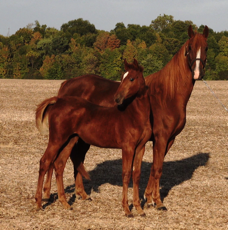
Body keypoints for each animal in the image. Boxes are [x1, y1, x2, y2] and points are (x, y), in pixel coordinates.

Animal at [35, 58, 151, 216]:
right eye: (122, 77)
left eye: (132, 78)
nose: (117, 98)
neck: (134, 115)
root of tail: (58, 100)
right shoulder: (127, 147)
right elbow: (126, 174)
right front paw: (127, 209)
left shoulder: (140, 147)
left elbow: (137, 175)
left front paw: (139, 208)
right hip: (57, 139)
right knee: (45, 162)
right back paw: (39, 202)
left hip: (70, 140)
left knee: (59, 164)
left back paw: (65, 202)